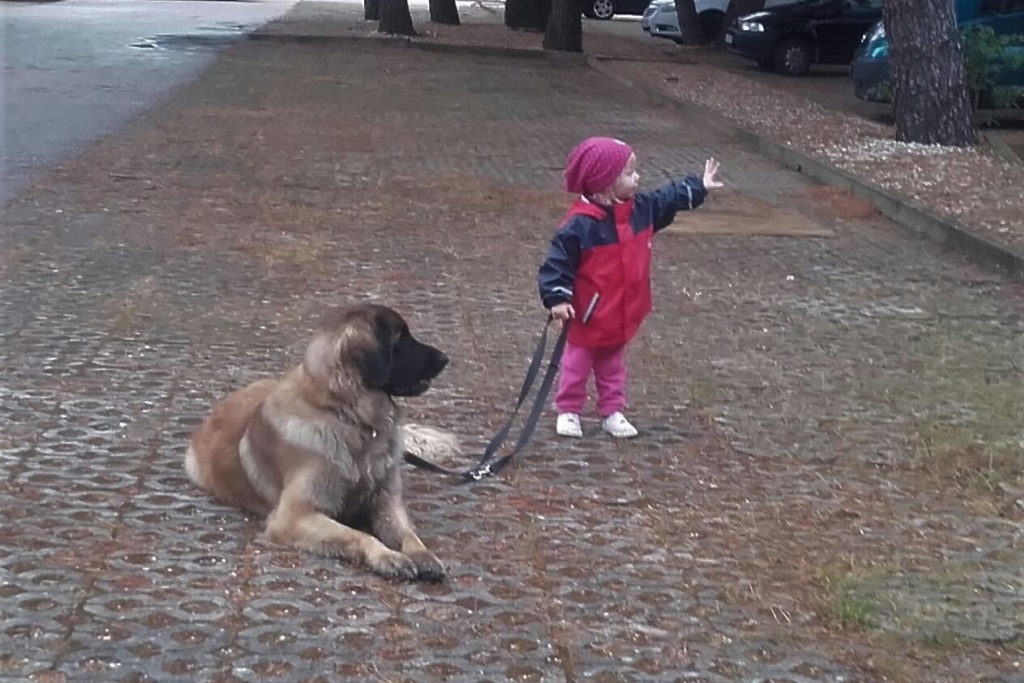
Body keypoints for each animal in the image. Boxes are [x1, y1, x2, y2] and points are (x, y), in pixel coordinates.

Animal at [183, 305, 460, 581]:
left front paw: (423, 554)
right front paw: (387, 557)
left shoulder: (386, 503)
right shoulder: (294, 516)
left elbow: (407, 533)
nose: (445, 358)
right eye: (400, 338)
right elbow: (360, 535)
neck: (347, 415)